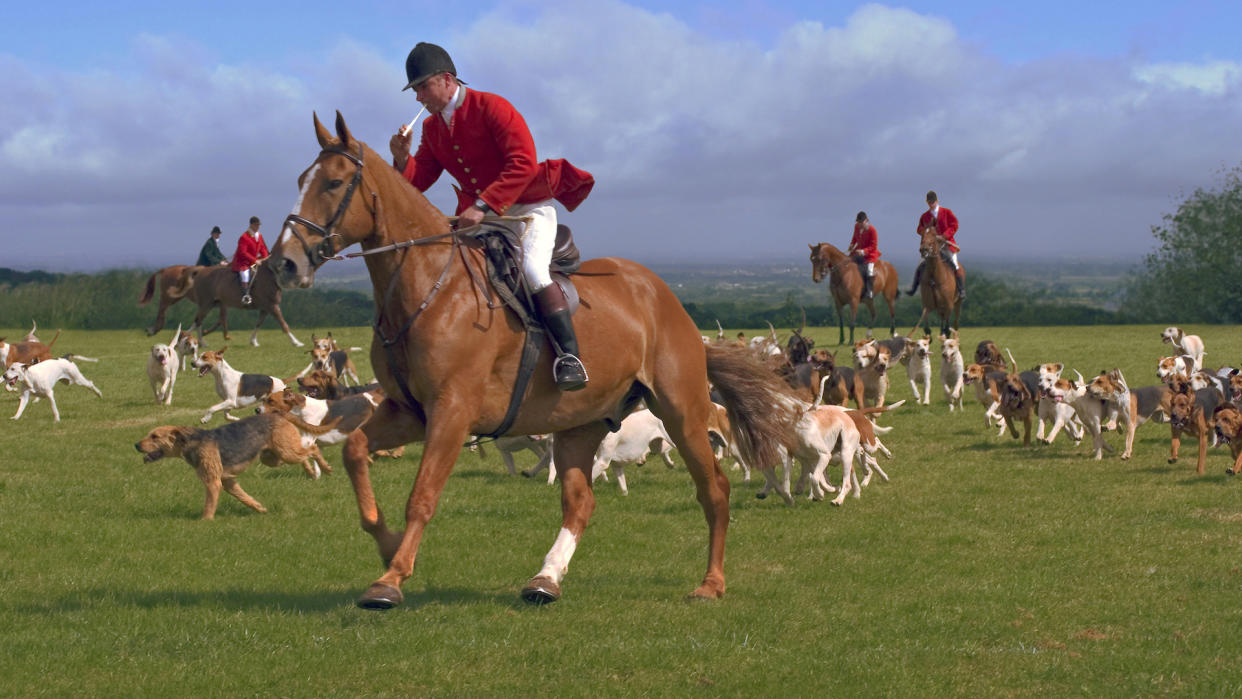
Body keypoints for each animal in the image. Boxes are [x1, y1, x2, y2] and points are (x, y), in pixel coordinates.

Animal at [132, 409, 340, 518]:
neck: (191, 442)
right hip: (273, 457)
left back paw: (326, 469)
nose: (136, 445)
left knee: (313, 449)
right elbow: (244, 497)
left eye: (155, 436)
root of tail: (280, 414)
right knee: (304, 456)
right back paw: (312, 473)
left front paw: (204, 522)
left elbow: (209, 505)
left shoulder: (213, 482)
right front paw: (260, 509)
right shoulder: (227, 481)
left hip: (285, 453)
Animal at [168, 263, 304, 347]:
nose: (301, 282)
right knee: (197, 321)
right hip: (206, 304)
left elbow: (258, 324)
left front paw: (253, 342)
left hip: (210, 304)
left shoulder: (265, 308)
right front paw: (297, 342)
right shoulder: (272, 306)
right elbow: (283, 324)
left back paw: (200, 342)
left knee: (199, 322)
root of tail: (202, 270)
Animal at [267, 112, 799, 610]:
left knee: (714, 489)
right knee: (580, 502)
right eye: (299, 180)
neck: (428, 287)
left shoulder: (452, 411)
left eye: (334, 183)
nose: (284, 264)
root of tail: (665, 298)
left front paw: (391, 580)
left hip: (681, 412)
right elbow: (356, 452)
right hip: (582, 422)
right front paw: (387, 546)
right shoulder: (410, 412)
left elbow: (423, 495)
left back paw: (711, 583)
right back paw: (545, 580)